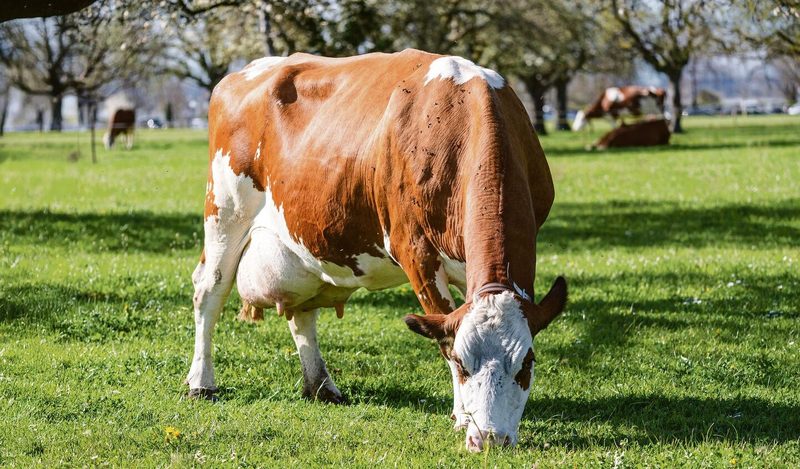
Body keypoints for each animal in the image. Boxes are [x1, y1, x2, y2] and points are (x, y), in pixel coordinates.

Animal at [187, 50, 567, 452]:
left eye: (526, 364)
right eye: (464, 364)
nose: (490, 439)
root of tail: (244, 71)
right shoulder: (415, 251)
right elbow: (443, 335)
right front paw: (462, 417)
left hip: (303, 241)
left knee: (301, 312)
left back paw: (321, 386)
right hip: (224, 212)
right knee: (209, 291)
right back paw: (201, 383)